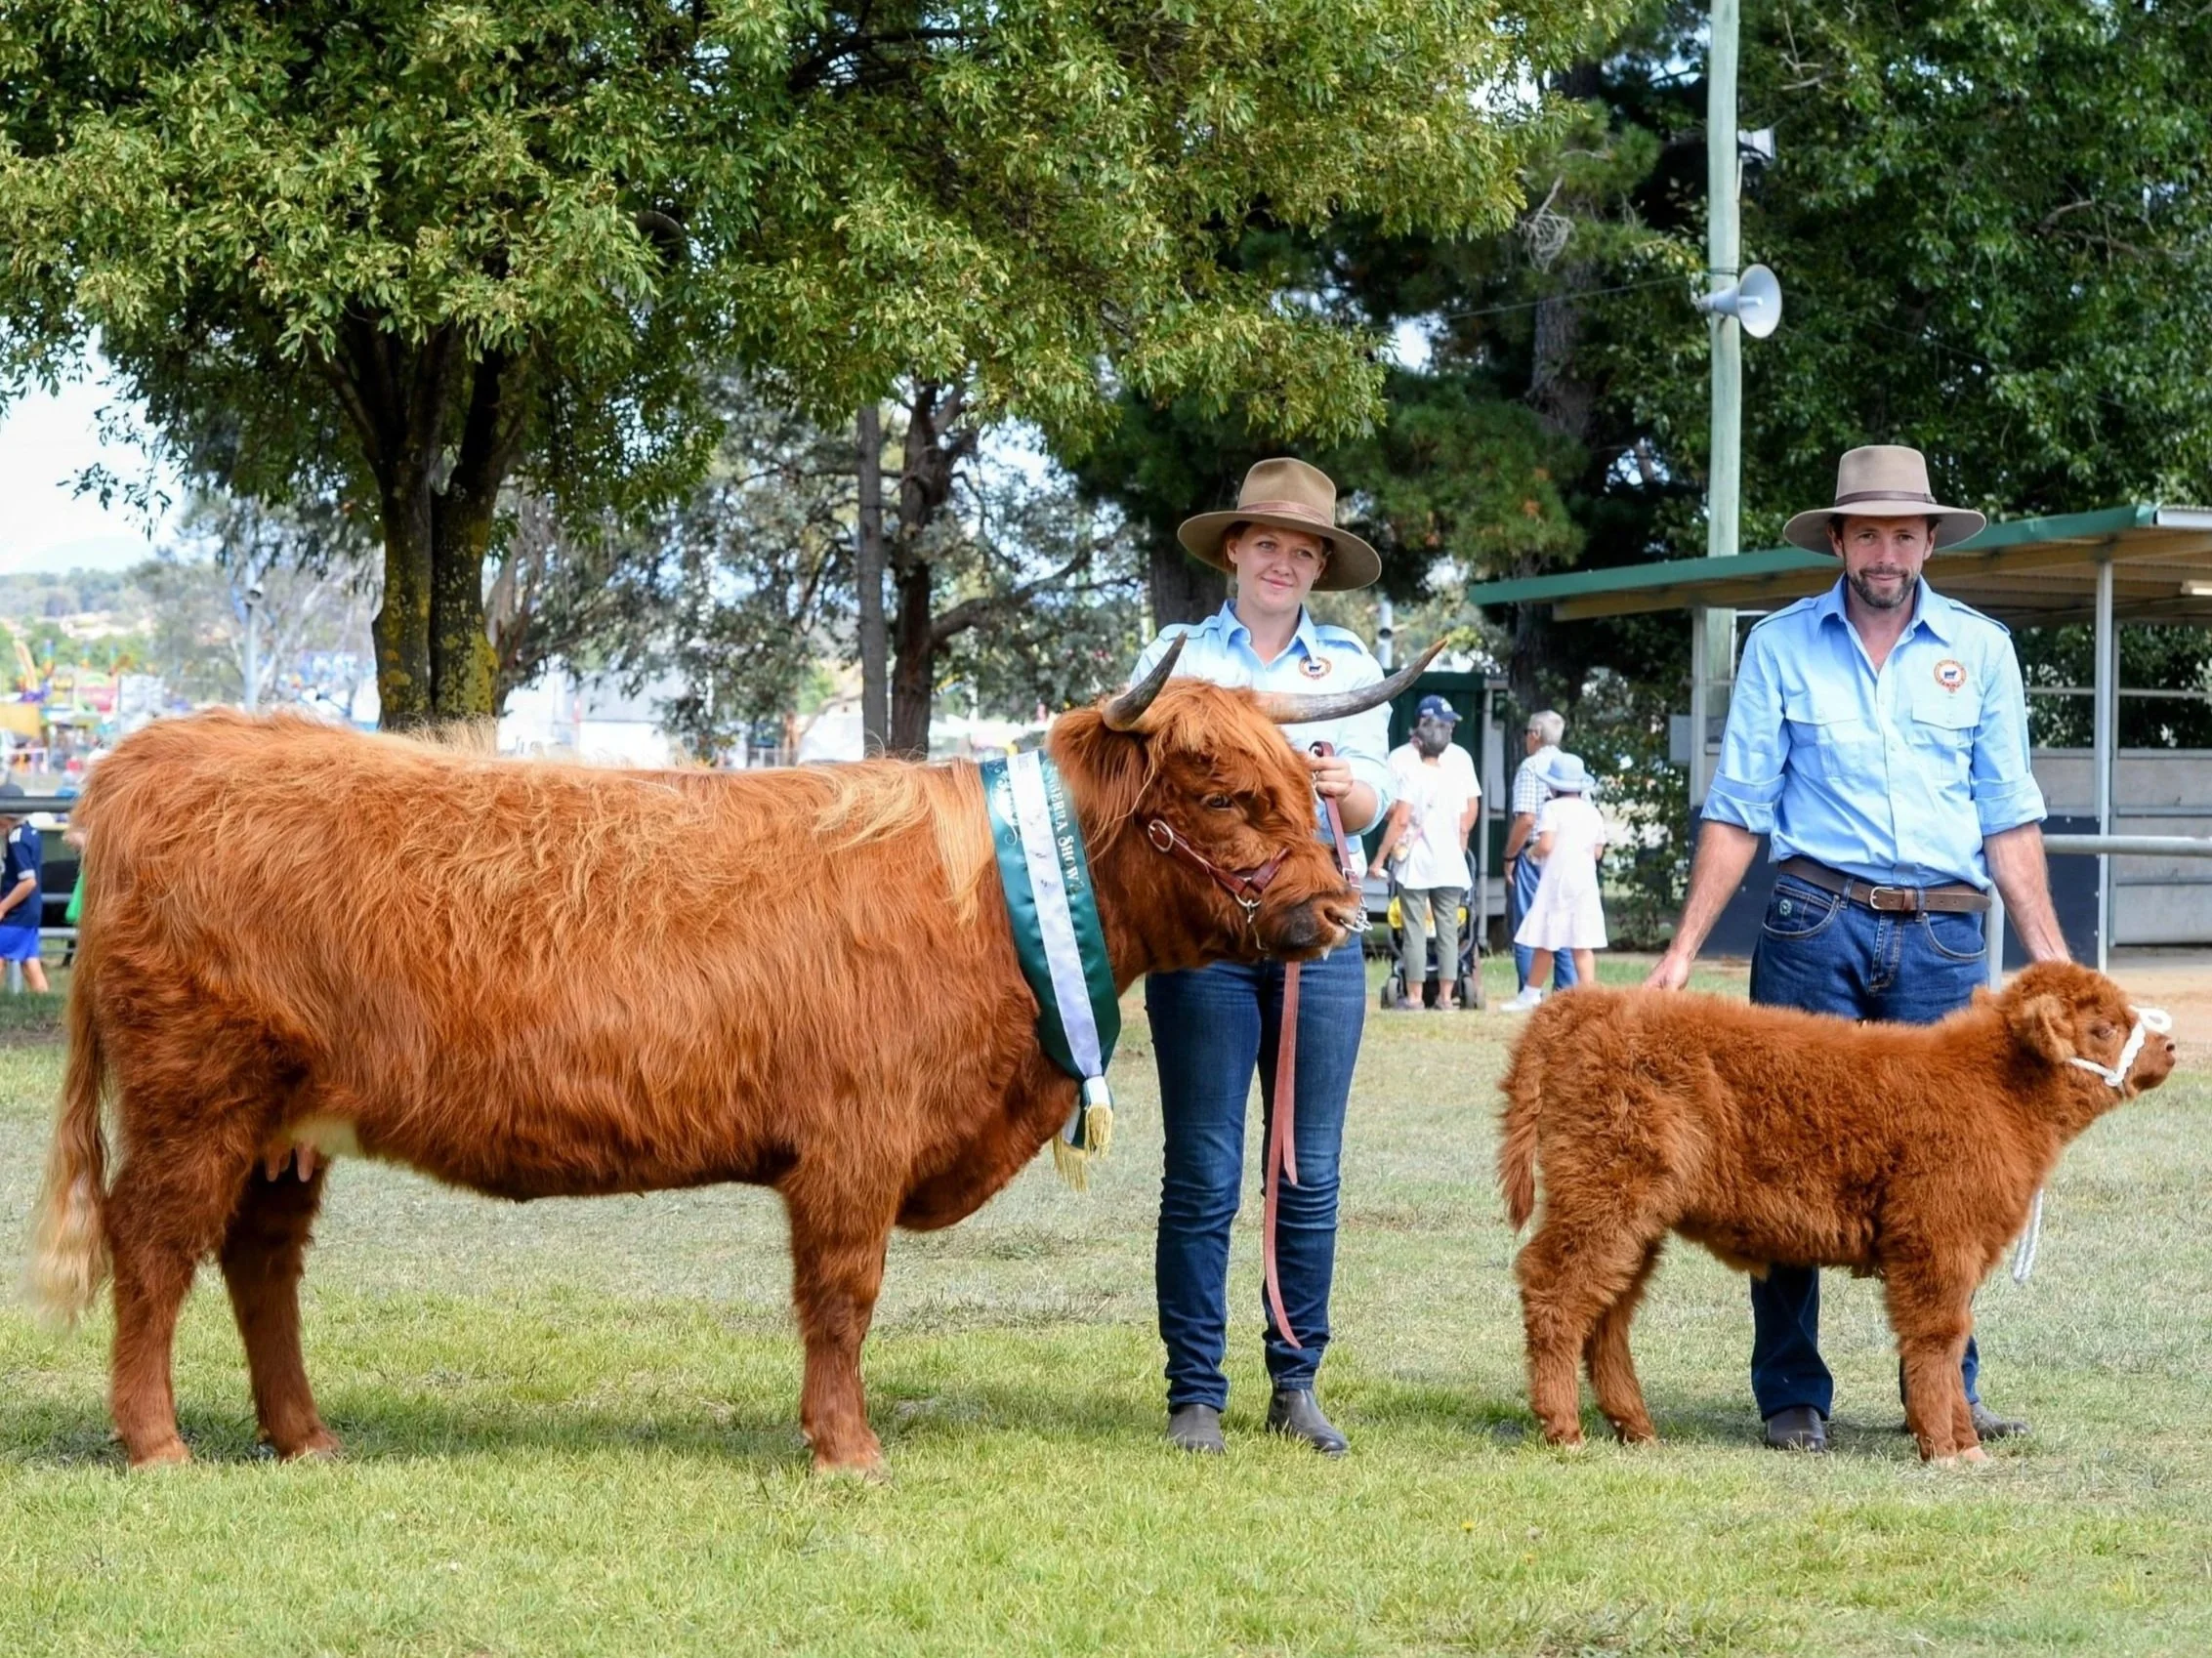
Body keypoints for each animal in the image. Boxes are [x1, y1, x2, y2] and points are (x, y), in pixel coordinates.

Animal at [23, 639, 1430, 1473]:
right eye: (1221, 792)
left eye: (1306, 784)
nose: (1337, 914)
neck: (987, 897)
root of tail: (160, 749)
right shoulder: (854, 1144)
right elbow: (843, 1297)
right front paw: (847, 1450)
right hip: (197, 1100)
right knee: (155, 1250)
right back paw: (156, 1444)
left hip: (285, 1126)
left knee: (261, 1263)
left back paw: (304, 1437)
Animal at [1497, 962, 2176, 1463]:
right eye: (2104, 1027)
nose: (2169, 1045)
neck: (1994, 1092)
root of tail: (1586, 1005)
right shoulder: (1936, 1242)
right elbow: (1938, 1339)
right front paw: (1952, 1450)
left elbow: (1950, 1342)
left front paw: (1963, 1439)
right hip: (1604, 1195)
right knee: (1556, 1289)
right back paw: (1564, 1430)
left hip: (1634, 1218)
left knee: (1608, 1310)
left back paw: (1636, 1428)